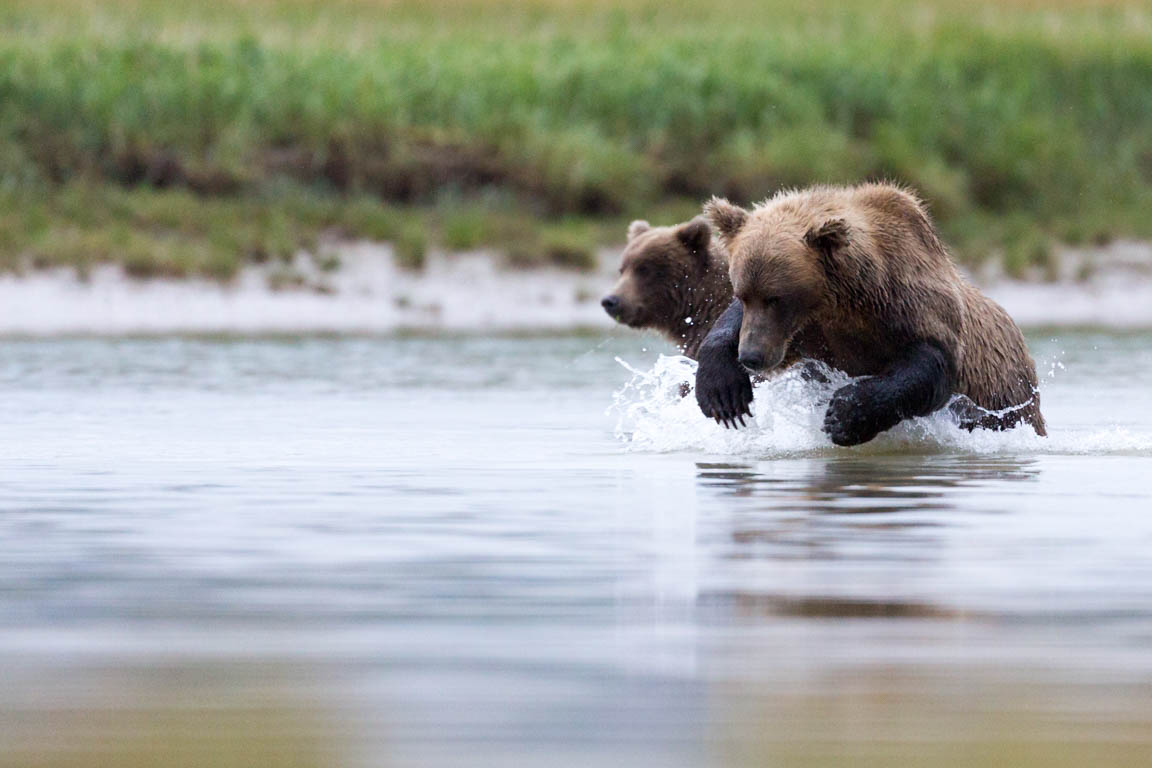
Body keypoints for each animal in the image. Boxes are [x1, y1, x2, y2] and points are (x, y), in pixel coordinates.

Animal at [695, 183, 1050, 444]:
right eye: (742, 293)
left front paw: (845, 415)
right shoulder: (809, 332)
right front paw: (723, 392)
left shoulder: (912, 304)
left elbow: (931, 364)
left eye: (776, 298)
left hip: (1008, 400)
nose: (751, 356)